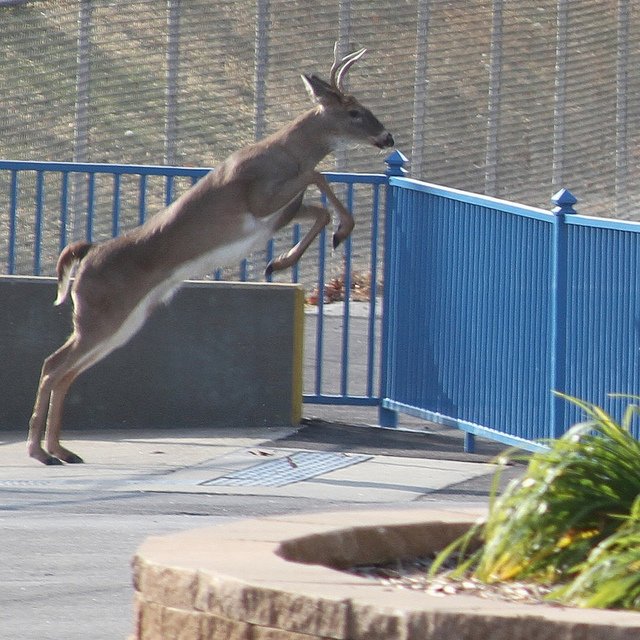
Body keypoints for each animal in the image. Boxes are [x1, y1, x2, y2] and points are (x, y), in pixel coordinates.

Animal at [27, 44, 394, 465]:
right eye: (354, 111)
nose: (388, 137)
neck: (286, 151)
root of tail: (87, 258)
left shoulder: (277, 215)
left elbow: (319, 208)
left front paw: (286, 259)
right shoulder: (259, 198)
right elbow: (320, 177)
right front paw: (334, 235)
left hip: (121, 321)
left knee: (65, 371)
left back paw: (61, 450)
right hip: (100, 314)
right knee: (53, 366)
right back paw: (39, 451)